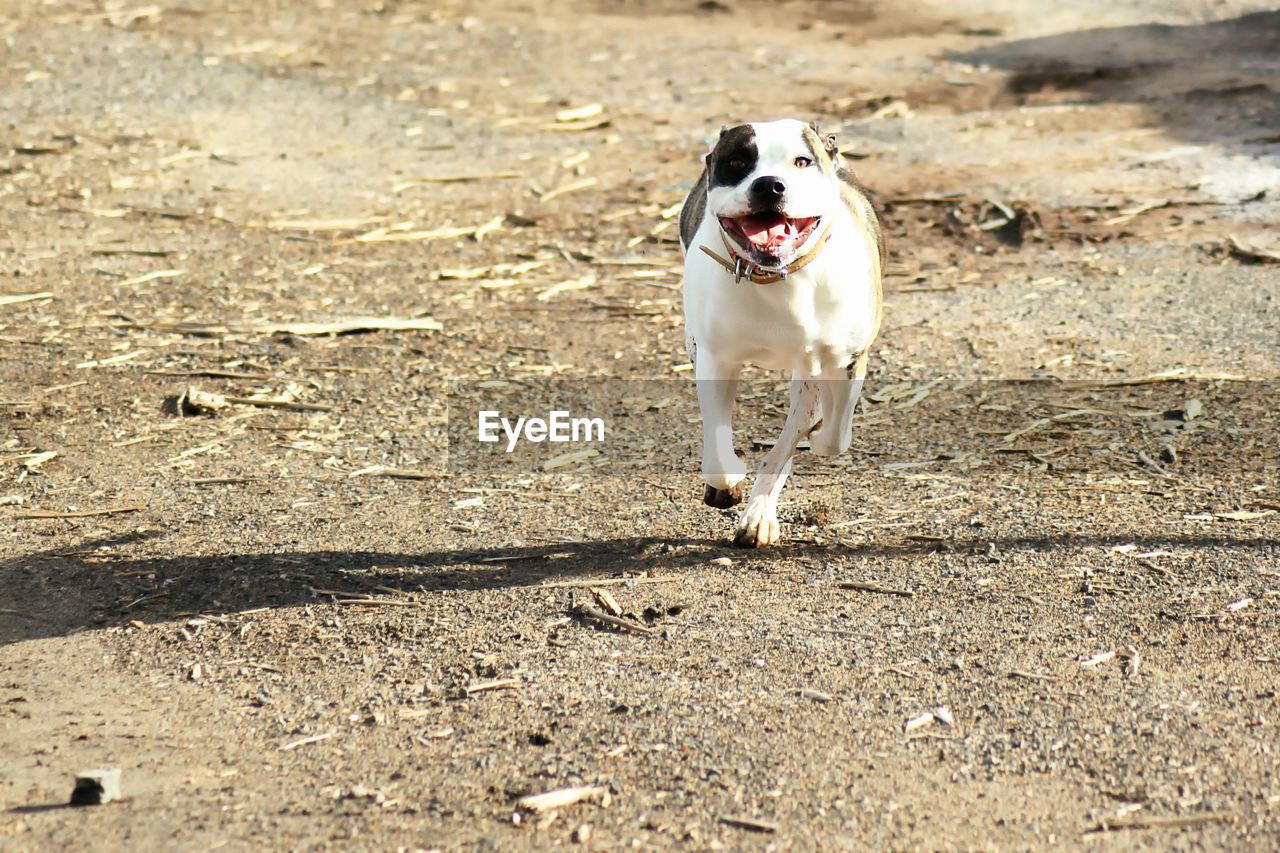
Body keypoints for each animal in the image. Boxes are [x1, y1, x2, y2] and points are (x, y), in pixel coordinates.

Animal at [680, 117, 880, 545]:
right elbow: (718, 451)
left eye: (802, 161)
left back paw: (761, 513)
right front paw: (729, 479)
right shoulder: (714, 359)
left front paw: (818, 437)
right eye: (737, 163)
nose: (769, 184)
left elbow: (832, 437)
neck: (778, 277)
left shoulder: (846, 360)